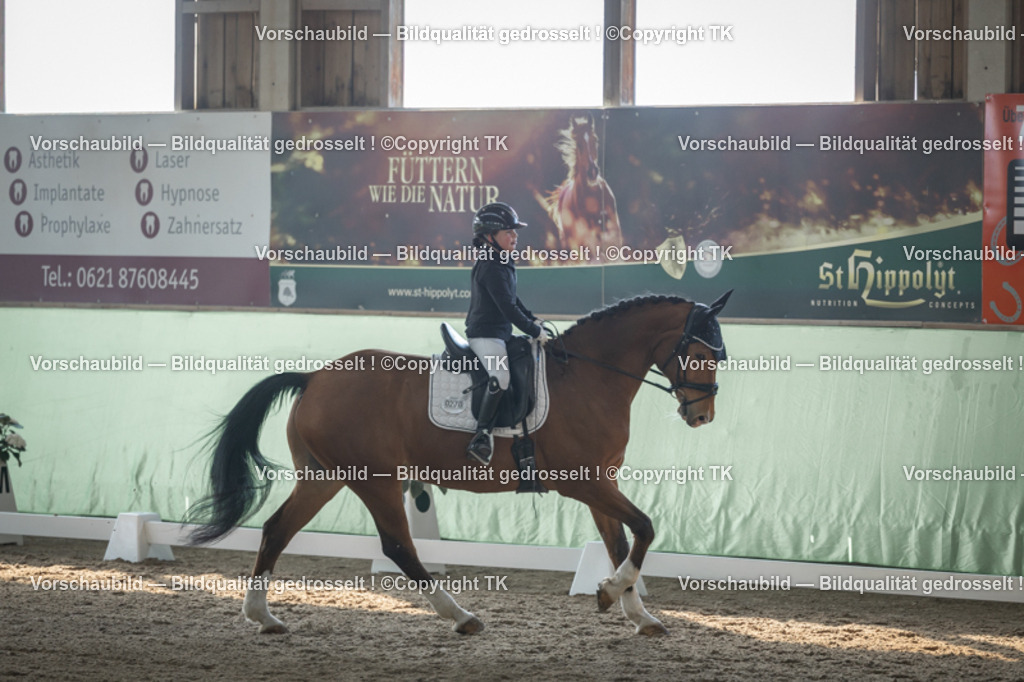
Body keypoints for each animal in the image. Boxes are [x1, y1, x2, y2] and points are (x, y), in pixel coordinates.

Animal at [187, 291, 732, 636]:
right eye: (700, 351)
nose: (703, 415)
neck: (590, 376)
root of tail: (315, 378)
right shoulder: (583, 482)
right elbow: (645, 527)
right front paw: (608, 592)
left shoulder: (603, 483)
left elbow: (622, 541)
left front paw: (637, 615)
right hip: (375, 479)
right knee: (398, 546)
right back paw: (461, 615)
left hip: (324, 477)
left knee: (277, 529)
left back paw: (264, 617)